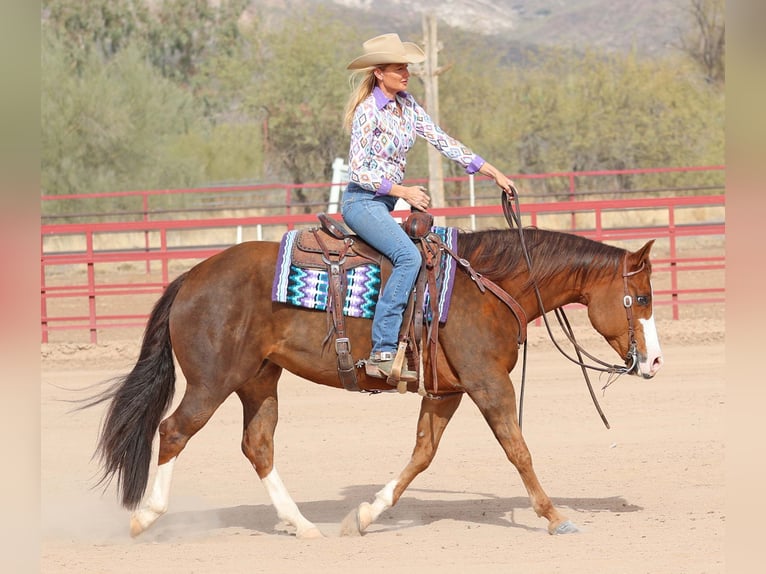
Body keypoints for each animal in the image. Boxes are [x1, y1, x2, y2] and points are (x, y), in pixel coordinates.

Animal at [88, 225, 664, 540]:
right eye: (640, 298)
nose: (655, 361)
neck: (487, 284)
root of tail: (191, 277)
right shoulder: (487, 383)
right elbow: (517, 448)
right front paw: (554, 516)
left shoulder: (447, 391)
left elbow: (422, 453)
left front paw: (365, 515)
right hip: (212, 381)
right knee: (174, 431)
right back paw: (145, 518)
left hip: (258, 380)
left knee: (258, 445)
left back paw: (302, 525)